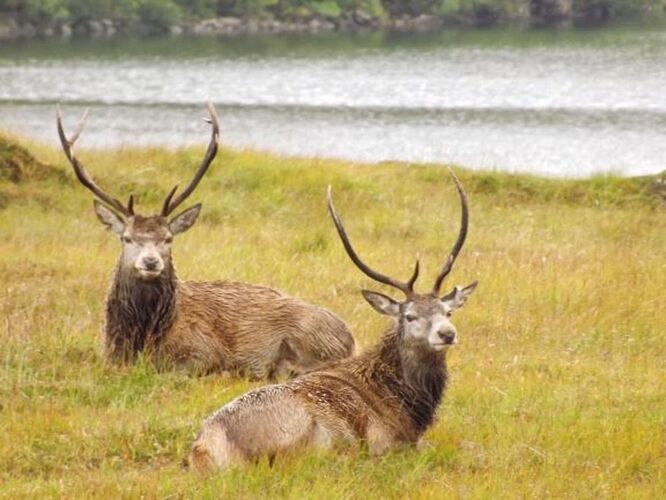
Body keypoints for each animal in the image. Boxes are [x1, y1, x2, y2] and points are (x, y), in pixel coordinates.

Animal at [55, 103, 352, 376]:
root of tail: (351, 338)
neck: (145, 337)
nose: (150, 262)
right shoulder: (109, 355)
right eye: (126, 238)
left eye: (168, 238)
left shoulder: (203, 351)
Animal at [189, 171, 474, 468]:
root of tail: (204, 447)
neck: (410, 407)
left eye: (448, 312)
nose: (447, 333)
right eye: (410, 316)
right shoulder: (386, 443)